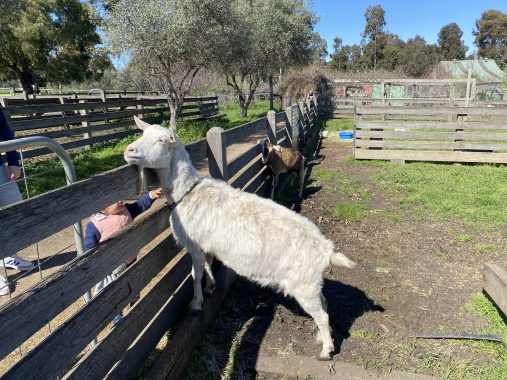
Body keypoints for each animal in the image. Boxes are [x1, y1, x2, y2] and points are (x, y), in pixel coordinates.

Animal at [124, 117, 358, 360]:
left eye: (162, 140)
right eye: (143, 134)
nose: (129, 150)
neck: (187, 192)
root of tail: (327, 250)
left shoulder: (194, 245)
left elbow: (195, 275)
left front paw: (196, 304)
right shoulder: (207, 245)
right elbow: (208, 266)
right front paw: (211, 287)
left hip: (303, 285)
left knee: (321, 314)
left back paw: (326, 351)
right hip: (312, 284)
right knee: (325, 304)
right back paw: (322, 338)